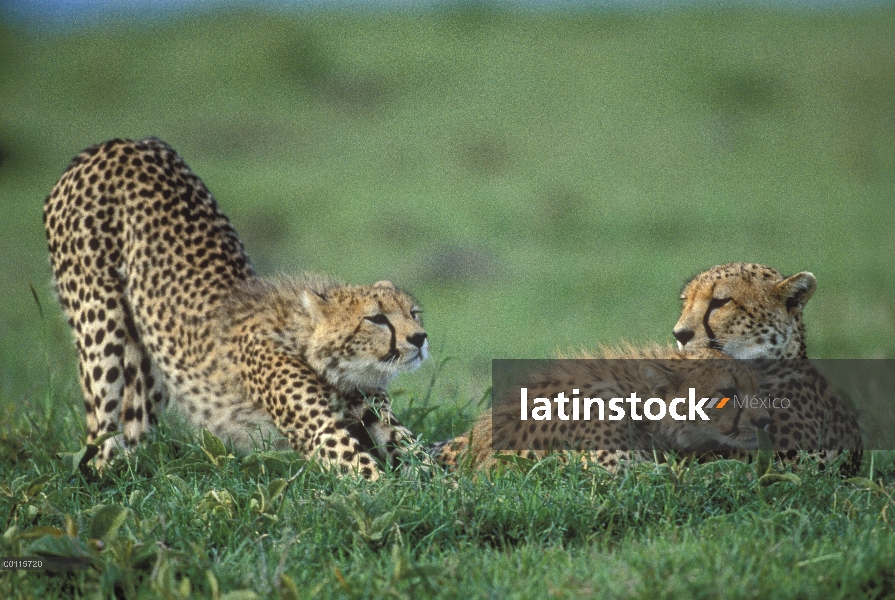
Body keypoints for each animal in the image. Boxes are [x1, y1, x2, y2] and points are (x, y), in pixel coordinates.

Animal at [44, 137, 430, 478]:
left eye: (413, 313)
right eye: (376, 318)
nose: (420, 338)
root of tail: (120, 143)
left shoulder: (374, 411)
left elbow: (423, 463)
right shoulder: (322, 433)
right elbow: (374, 479)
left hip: (148, 359)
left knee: (133, 430)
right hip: (100, 327)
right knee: (100, 438)